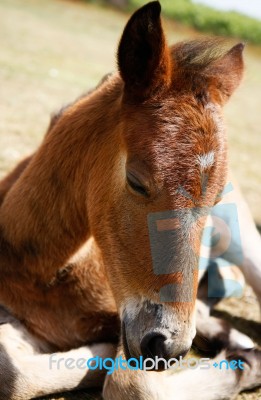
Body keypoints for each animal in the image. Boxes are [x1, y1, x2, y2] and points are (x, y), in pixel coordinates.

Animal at [0, 1, 258, 398]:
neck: (42, 269)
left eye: (216, 200)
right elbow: (9, 373)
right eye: (136, 181)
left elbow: (129, 384)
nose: (168, 346)